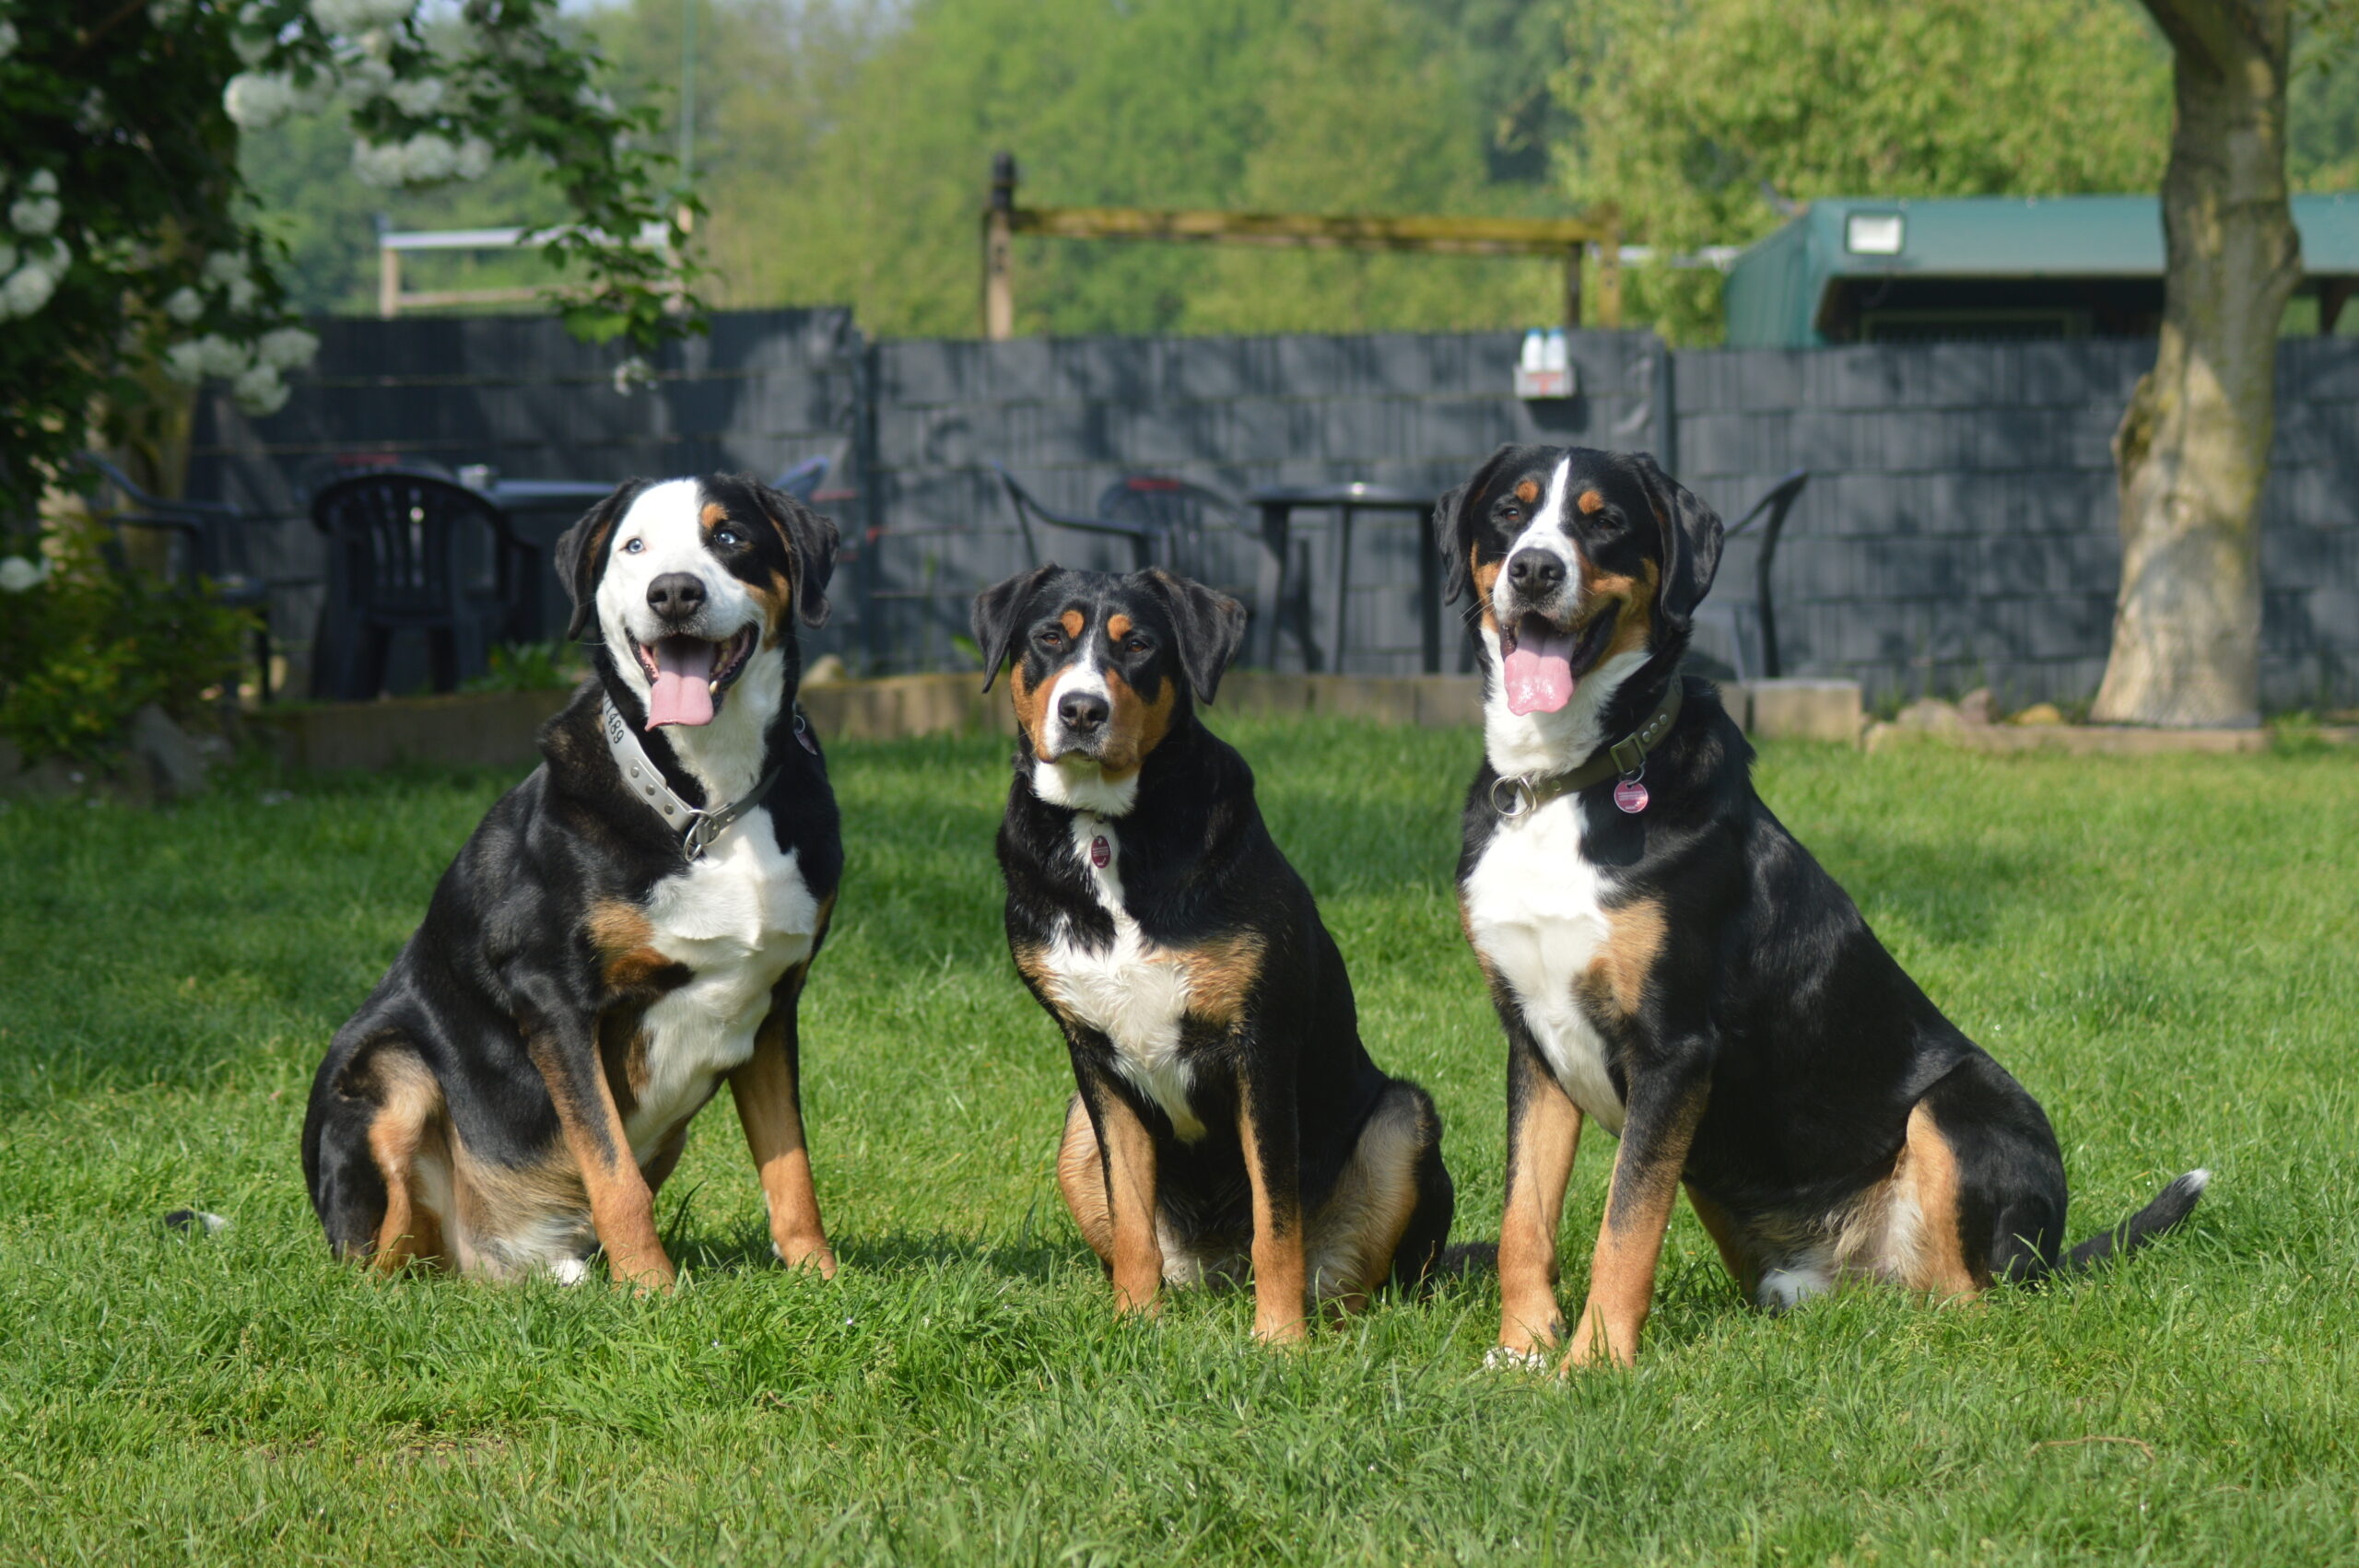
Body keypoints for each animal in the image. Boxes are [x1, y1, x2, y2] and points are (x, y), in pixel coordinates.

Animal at [299, 471, 844, 1292]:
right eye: (634, 546)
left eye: (728, 537)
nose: (673, 592)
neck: (708, 803)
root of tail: (500, 1257)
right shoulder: (554, 998)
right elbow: (612, 1171)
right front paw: (650, 1289)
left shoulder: (776, 1001)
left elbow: (792, 1169)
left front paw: (821, 1277)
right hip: (391, 1072)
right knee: (386, 1264)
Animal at [971, 568, 1452, 1339]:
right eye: (1049, 637)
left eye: (1137, 644)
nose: (1082, 709)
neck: (1106, 831)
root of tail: (1218, 1272)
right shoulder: (1094, 1060)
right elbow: (1132, 1219)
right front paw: (1135, 1325)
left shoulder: (1260, 1049)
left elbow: (1276, 1218)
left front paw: (1279, 1341)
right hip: (1075, 1132)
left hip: (1402, 1121)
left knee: (1351, 1279)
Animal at [1434, 443, 2208, 1367]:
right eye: (1510, 513)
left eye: (1604, 520)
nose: (1535, 569)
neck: (1563, 781)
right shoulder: (1533, 1039)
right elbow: (1526, 1219)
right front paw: (1521, 1353)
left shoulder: (1673, 1049)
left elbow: (1624, 1230)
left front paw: (1594, 1366)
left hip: (1961, 1105)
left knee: (1975, 1298)